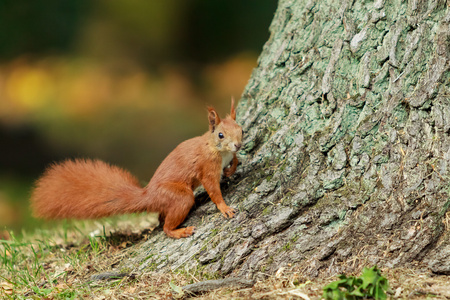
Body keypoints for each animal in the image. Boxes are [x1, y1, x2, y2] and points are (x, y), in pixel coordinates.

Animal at [30, 99, 243, 238]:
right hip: (179, 196)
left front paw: (231, 168)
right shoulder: (207, 167)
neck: (215, 148)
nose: (238, 145)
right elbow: (213, 189)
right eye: (221, 135)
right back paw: (179, 231)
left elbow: (235, 160)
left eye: (241, 130)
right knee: (166, 226)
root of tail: (148, 195)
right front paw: (224, 207)